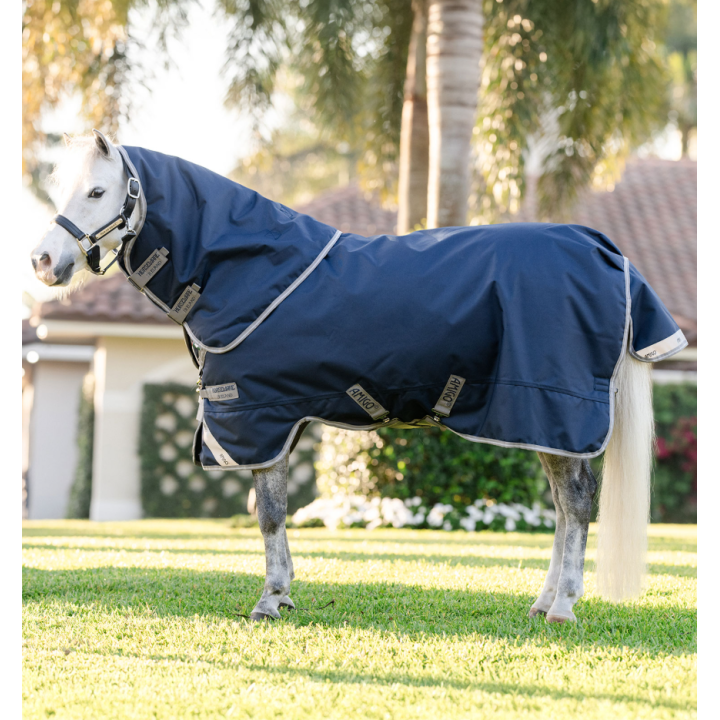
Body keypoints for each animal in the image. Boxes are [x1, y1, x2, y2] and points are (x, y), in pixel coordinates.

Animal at [32, 130, 682, 624]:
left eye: (97, 190)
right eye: (62, 189)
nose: (42, 262)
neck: (246, 272)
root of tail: (606, 250)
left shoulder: (260, 419)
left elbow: (268, 514)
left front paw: (270, 600)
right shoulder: (275, 422)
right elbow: (271, 513)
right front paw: (281, 595)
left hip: (555, 411)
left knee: (576, 505)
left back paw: (564, 607)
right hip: (543, 424)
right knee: (564, 507)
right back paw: (544, 602)